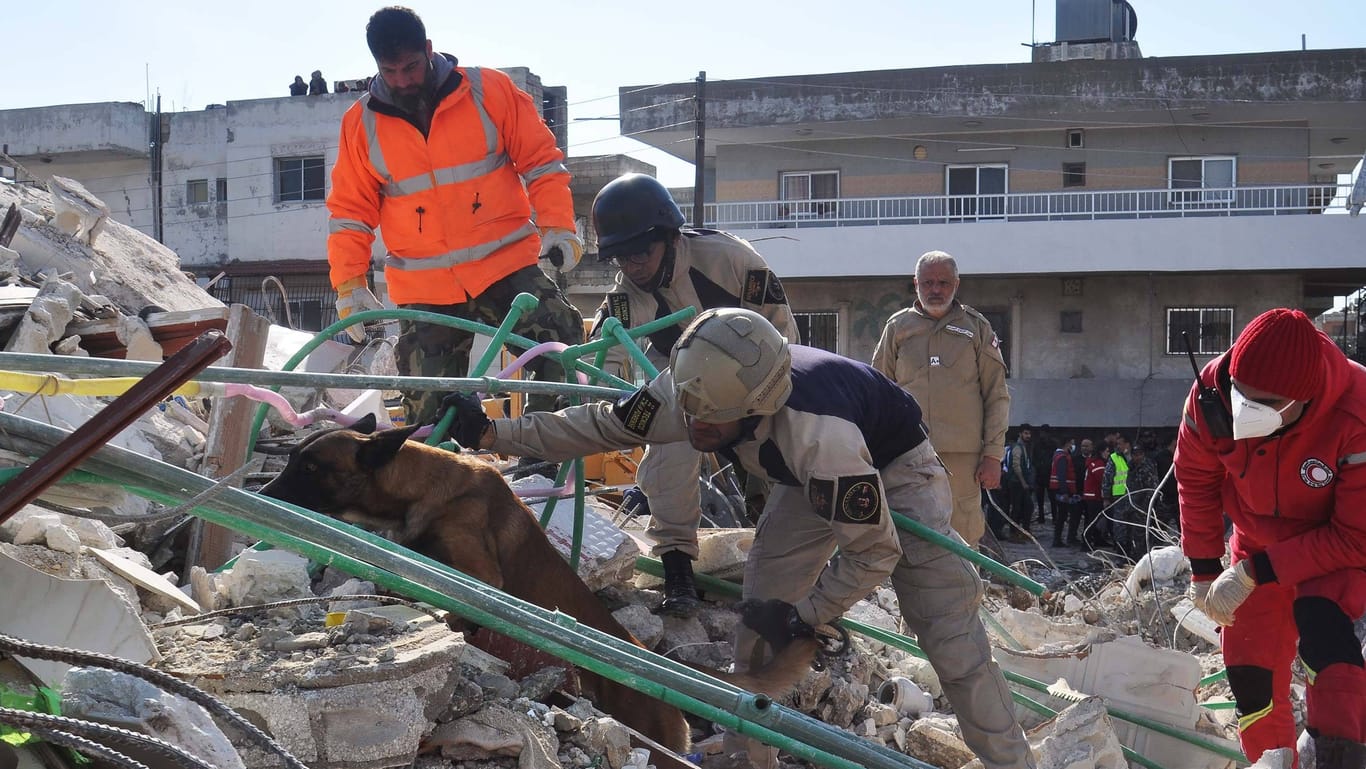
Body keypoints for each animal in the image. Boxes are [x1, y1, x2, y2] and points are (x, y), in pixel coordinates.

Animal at [260, 415, 819, 753]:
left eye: (310, 465)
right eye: (294, 458)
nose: (263, 492)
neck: (418, 486)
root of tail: (654, 662)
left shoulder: (482, 572)